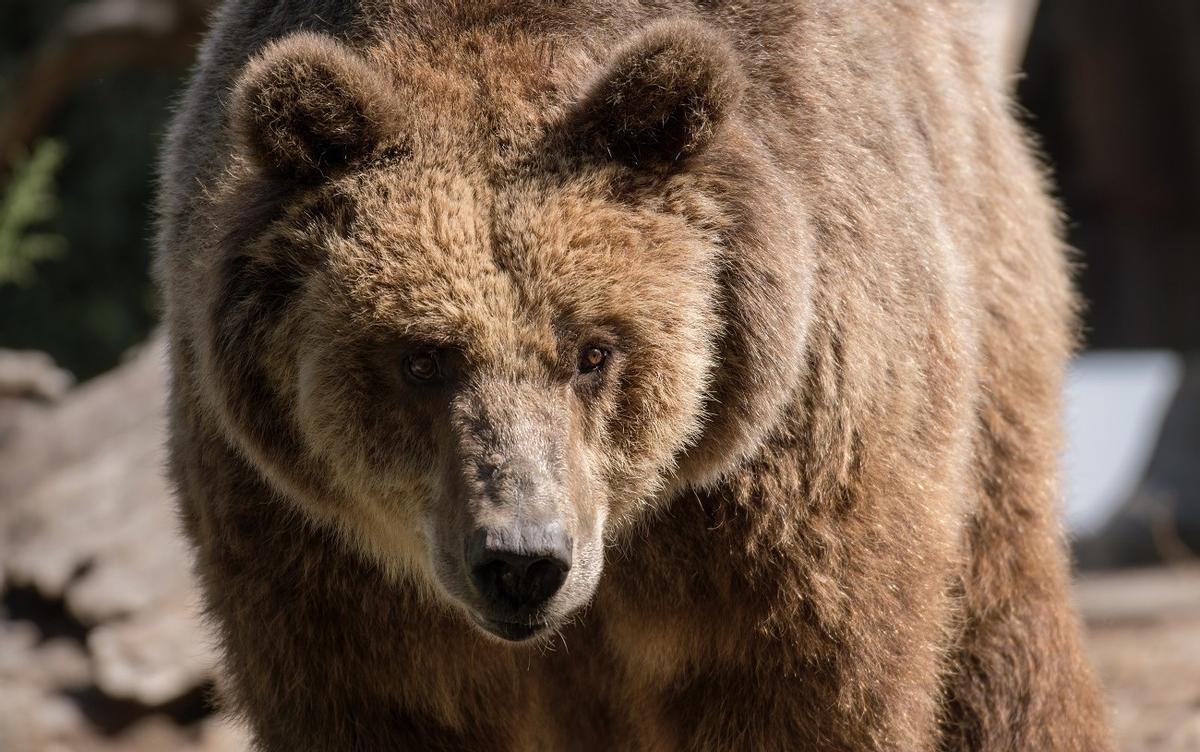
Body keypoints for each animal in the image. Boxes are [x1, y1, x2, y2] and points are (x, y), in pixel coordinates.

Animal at [155, 1, 1114, 750]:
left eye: (594, 351)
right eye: (421, 356)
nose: (522, 561)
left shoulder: (785, 489)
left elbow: (813, 686)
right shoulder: (315, 552)